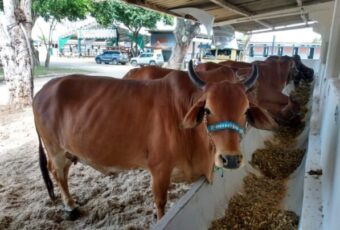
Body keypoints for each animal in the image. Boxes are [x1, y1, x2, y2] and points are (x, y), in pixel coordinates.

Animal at [33, 61, 276, 221]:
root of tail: (44, 89)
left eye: (245, 110)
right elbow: (160, 202)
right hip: (55, 149)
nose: (231, 159)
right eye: (207, 109)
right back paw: (70, 207)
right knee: (58, 173)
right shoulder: (159, 169)